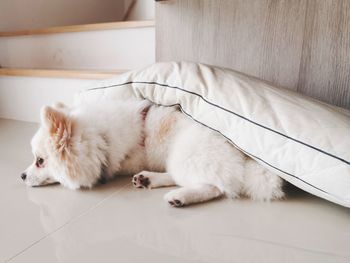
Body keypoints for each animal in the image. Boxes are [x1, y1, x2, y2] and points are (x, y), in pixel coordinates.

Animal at [22, 100, 284, 207]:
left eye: (40, 161)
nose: (21, 176)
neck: (101, 139)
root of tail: (243, 158)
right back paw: (148, 179)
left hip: (183, 155)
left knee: (215, 187)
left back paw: (180, 196)